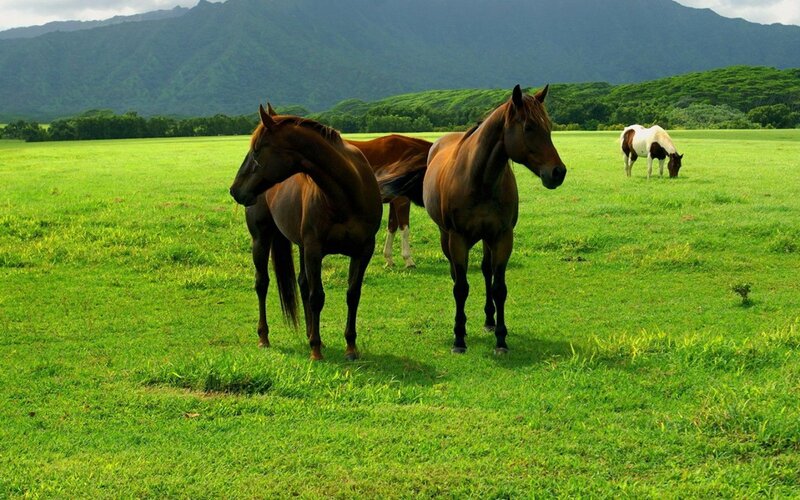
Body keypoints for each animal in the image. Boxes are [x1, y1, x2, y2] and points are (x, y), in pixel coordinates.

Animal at [229, 105, 382, 361]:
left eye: (257, 150)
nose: (235, 190)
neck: (347, 194)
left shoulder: (363, 250)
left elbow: (352, 295)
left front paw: (350, 347)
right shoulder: (314, 250)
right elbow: (316, 296)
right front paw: (316, 351)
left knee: (301, 283)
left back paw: (310, 333)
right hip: (261, 239)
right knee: (262, 283)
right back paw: (264, 337)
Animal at [346, 135, 432, 268]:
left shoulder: (394, 201)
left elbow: (392, 227)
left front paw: (389, 259)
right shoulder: (402, 200)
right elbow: (404, 229)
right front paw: (408, 260)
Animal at [380, 85, 567, 354]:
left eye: (549, 126)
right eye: (529, 127)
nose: (558, 172)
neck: (480, 181)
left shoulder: (502, 237)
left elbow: (499, 288)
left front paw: (501, 339)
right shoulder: (457, 239)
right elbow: (461, 287)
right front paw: (459, 338)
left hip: (487, 239)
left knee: (487, 271)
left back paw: (489, 320)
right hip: (446, 237)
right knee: (456, 275)